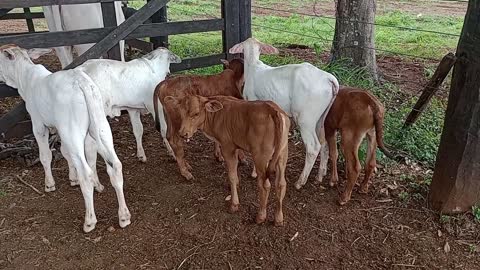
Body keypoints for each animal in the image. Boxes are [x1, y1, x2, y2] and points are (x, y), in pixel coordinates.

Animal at [0, 44, 131, 232]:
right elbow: (65, 151)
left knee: (86, 172)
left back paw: (89, 221)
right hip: (100, 126)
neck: (26, 77)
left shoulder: (38, 124)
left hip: (72, 129)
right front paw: (73, 178)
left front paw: (49, 184)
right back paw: (124, 216)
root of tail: (82, 83)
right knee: (115, 165)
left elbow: (45, 156)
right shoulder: (61, 129)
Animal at [167, 95, 290, 226]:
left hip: (260, 156)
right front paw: (237, 183)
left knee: (265, 185)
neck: (215, 116)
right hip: (283, 153)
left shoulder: (227, 147)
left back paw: (260, 216)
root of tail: (273, 110)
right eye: (180, 112)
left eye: (196, 113)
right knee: (281, 184)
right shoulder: (235, 146)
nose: (182, 134)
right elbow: (235, 173)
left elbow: (231, 176)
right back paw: (278, 218)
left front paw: (234, 204)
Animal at [230, 38, 340, 189]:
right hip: (321, 117)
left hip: (306, 118)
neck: (253, 65)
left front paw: (255, 172)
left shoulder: (253, 102)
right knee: (324, 142)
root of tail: (328, 78)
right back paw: (320, 175)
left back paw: (300, 182)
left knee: (313, 147)